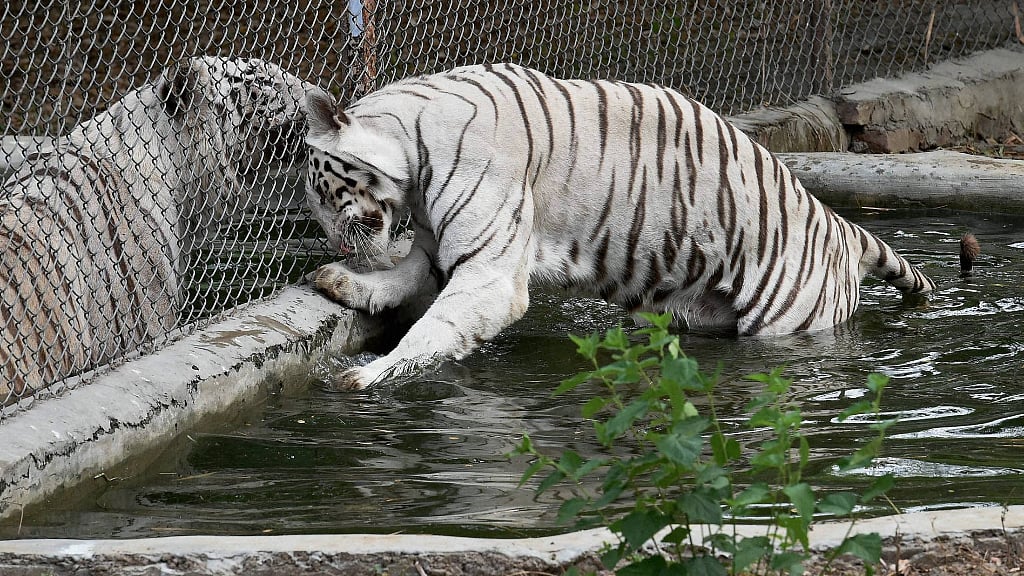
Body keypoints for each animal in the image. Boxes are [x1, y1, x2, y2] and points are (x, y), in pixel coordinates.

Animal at [302, 63, 936, 390]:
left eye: (322, 191)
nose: (333, 241)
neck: (413, 156)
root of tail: (842, 226)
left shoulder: (489, 268)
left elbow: (435, 325)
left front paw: (368, 374)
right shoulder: (439, 244)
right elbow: (407, 275)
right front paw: (344, 282)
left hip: (784, 322)